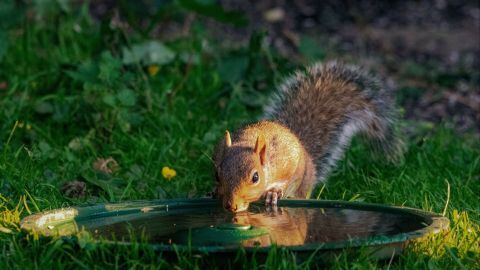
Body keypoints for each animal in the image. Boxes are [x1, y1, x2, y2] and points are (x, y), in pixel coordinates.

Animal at [214, 61, 402, 213]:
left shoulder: (286, 164)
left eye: (255, 177)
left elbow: (285, 180)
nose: (231, 206)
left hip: (303, 185)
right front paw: (214, 191)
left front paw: (274, 192)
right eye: (217, 174)